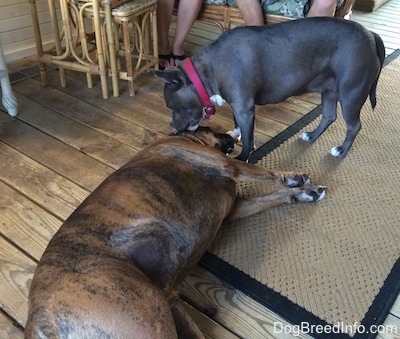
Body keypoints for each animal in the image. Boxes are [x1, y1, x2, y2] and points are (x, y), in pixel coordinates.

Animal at [24, 126, 324, 338]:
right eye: (212, 128)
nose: (231, 134)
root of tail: (41, 322)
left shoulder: (236, 209)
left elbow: (273, 198)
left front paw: (303, 194)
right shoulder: (226, 165)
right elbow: (265, 173)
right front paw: (294, 177)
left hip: (170, 306)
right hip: (147, 312)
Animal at [155, 17, 386, 162]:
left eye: (171, 106)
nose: (171, 125)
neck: (206, 72)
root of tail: (370, 34)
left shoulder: (244, 108)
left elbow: (248, 140)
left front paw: (242, 158)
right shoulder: (238, 107)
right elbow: (239, 126)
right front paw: (236, 133)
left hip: (350, 95)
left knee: (353, 126)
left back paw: (341, 151)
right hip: (329, 90)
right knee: (329, 116)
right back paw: (311, 136)